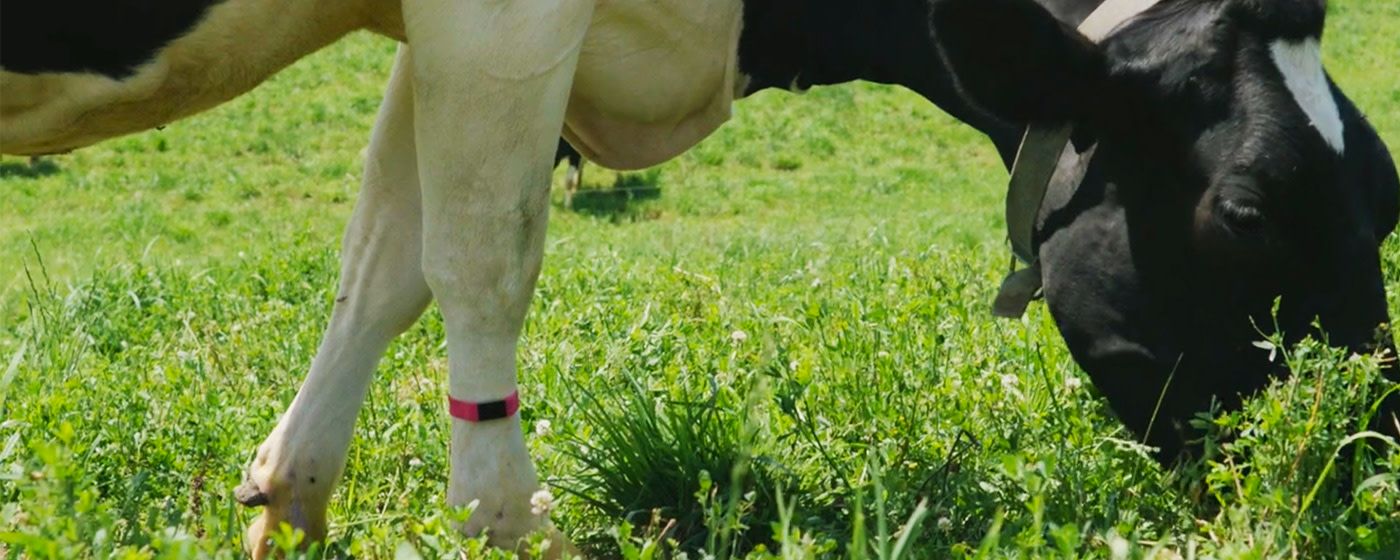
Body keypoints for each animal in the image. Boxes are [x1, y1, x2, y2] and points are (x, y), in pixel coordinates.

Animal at [0, 0, 1394, 554]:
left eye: (1381, 186)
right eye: (1249, 211)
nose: (1352, 466)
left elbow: (384, 260)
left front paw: (288, 492)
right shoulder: (505, 18)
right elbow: (483, 256)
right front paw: (507, 522)